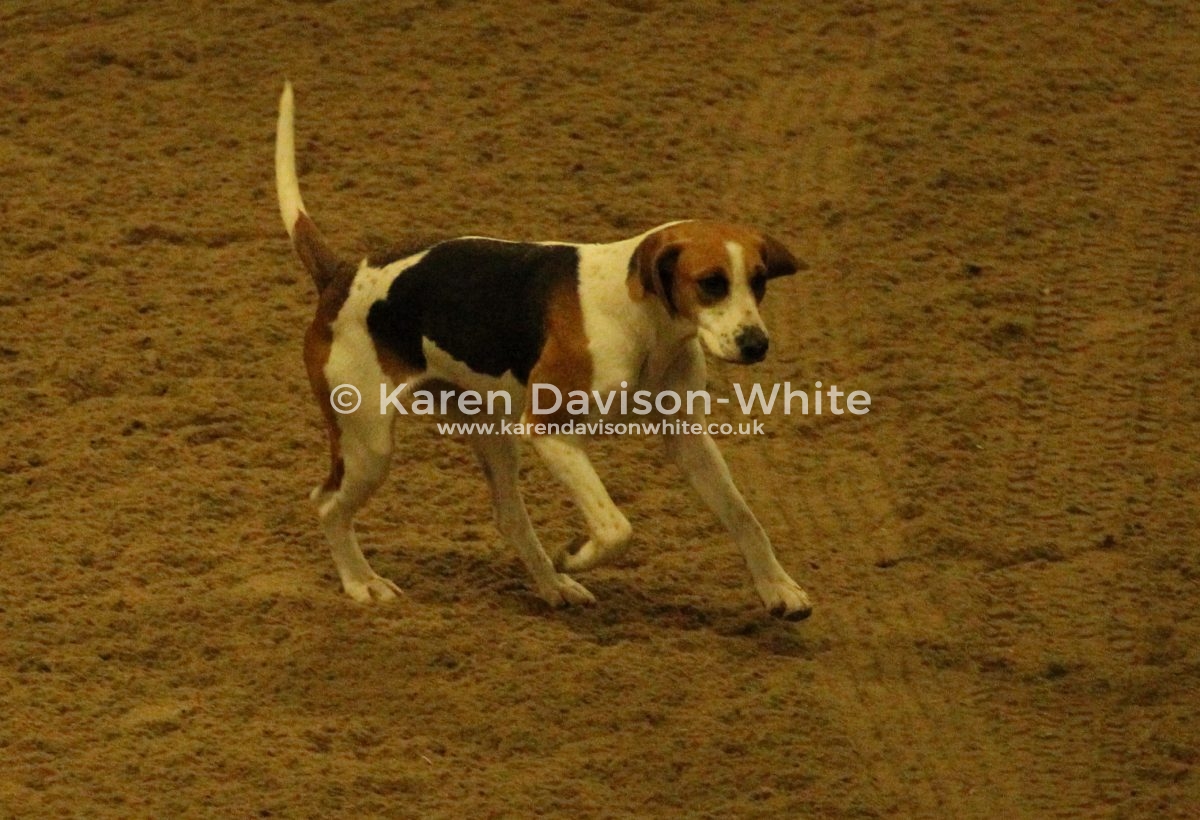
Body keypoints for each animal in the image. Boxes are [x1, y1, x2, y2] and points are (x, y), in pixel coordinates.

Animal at [275, 81, 812, 620]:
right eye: (711, 283)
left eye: (759, 281)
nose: (756, 344)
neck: (644, 322)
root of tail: (341, 275)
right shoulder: (551, 432)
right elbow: (616, 528)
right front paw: (576, 554)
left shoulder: (686, 436)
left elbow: (743, 517)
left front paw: (778, 588)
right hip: (368, 443)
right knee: (327, 504)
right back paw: (362, 582)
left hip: (489, 432)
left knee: (510, 518)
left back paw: (553, 586)